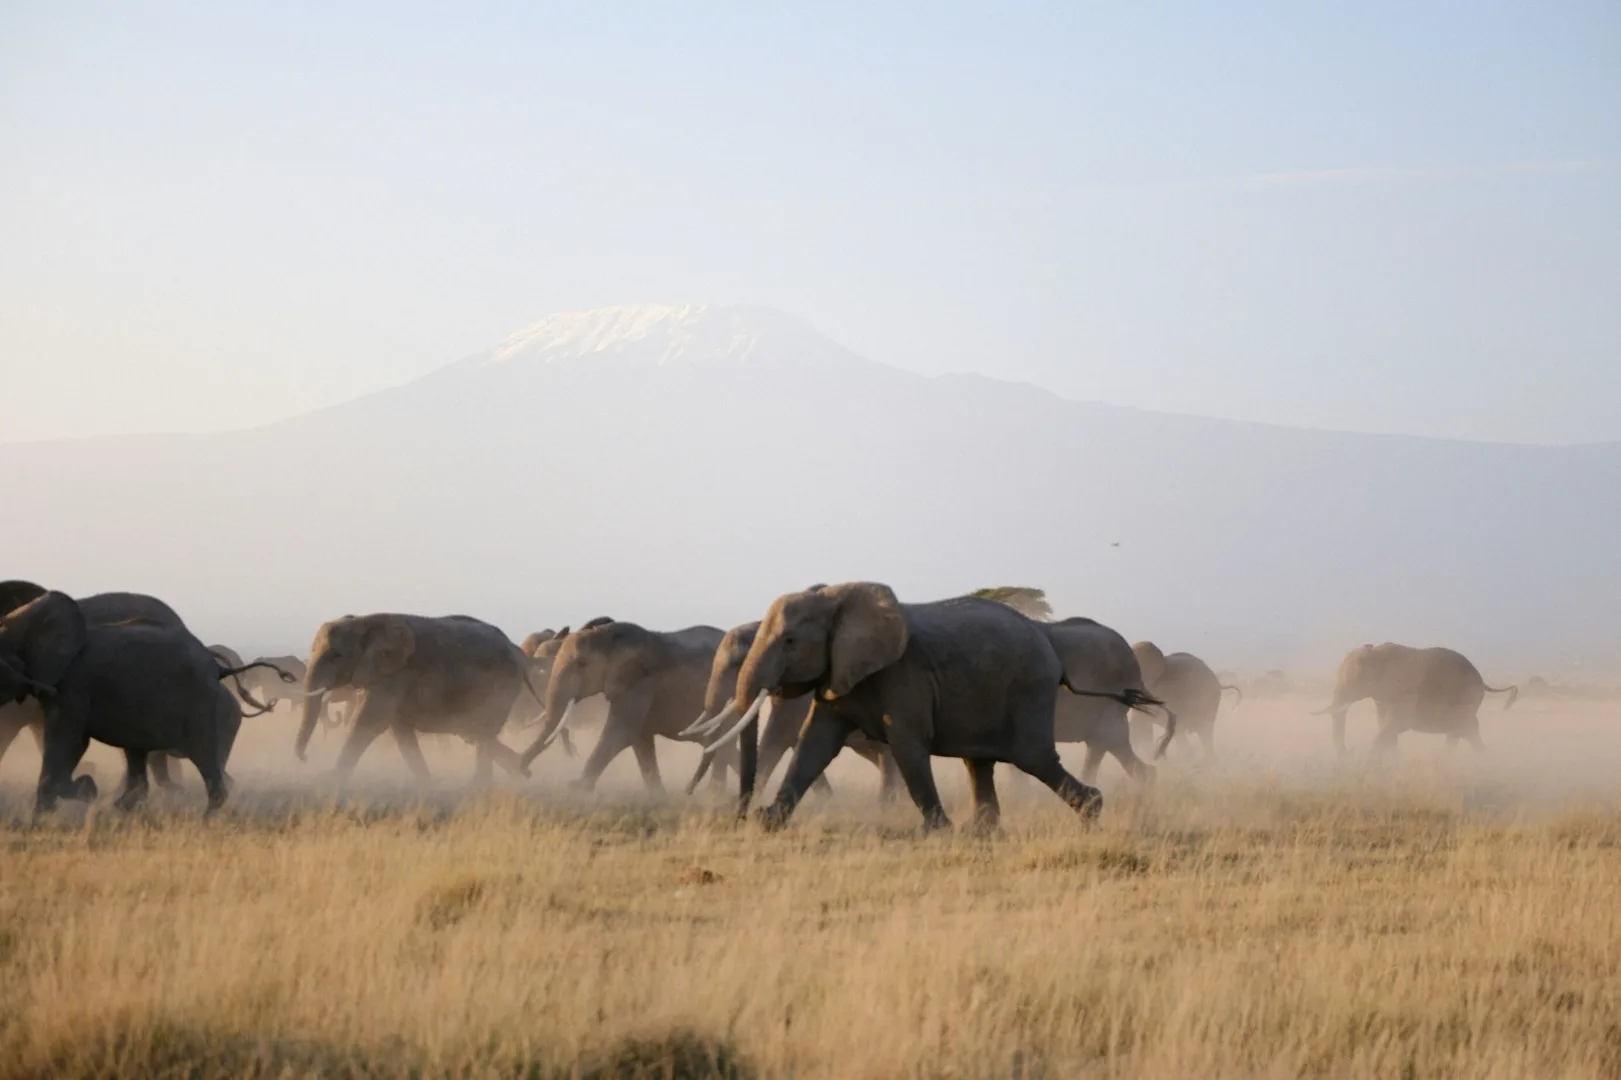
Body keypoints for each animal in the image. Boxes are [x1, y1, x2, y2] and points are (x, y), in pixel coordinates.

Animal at [0, 589, 273, 813]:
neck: (22, 618)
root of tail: (217, 667)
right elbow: (71, 742)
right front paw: (63, 802)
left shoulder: (75, 684)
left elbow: (68, 739)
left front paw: (80, 793)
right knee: (138, 753)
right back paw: (120, 808)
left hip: (201, 705)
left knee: (204, 757)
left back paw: (206, 819)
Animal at [295, 613, 540, 786]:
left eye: (336, 655)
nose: (304, 758)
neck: (364, 621)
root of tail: (518, 653)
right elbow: (399, 729)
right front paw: (425, 784)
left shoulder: (397, 672)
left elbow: (370, 720)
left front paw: (330, 780)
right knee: (476, 733)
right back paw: (520, 770)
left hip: (501, 684)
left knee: (482, 731)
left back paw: (483, 785)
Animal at [517, 620, 729, 792]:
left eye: (582, 664)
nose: (525, 770)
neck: (606, 637)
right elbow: (640, 740)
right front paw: (658, 796)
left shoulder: (639, 682)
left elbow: (621, 733)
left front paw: (576, 788)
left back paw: (715, 795)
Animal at [723, 582, 1133, 833]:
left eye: (790, 642)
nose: (739, 816)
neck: (838, 596)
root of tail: (1048, 638)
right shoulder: (838, 670)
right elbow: (815, 742)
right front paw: (768, 823)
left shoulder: (905, 676)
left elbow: (907, 744)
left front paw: (936, 832)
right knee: (979, 762)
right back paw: (981, 833)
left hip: (1029, 686)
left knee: (1032, 756)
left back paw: (1091, 810)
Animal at [1315, 643, 1519, 757]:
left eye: (1355, 681)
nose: (1350, 751)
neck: (1377, 653)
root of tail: (1483, 681)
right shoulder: (1383, 695)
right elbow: (1385, 725)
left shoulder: (1407, 692)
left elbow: (1395, 724)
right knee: (1467, 732)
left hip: (1466, 698)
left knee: (1464, 730)